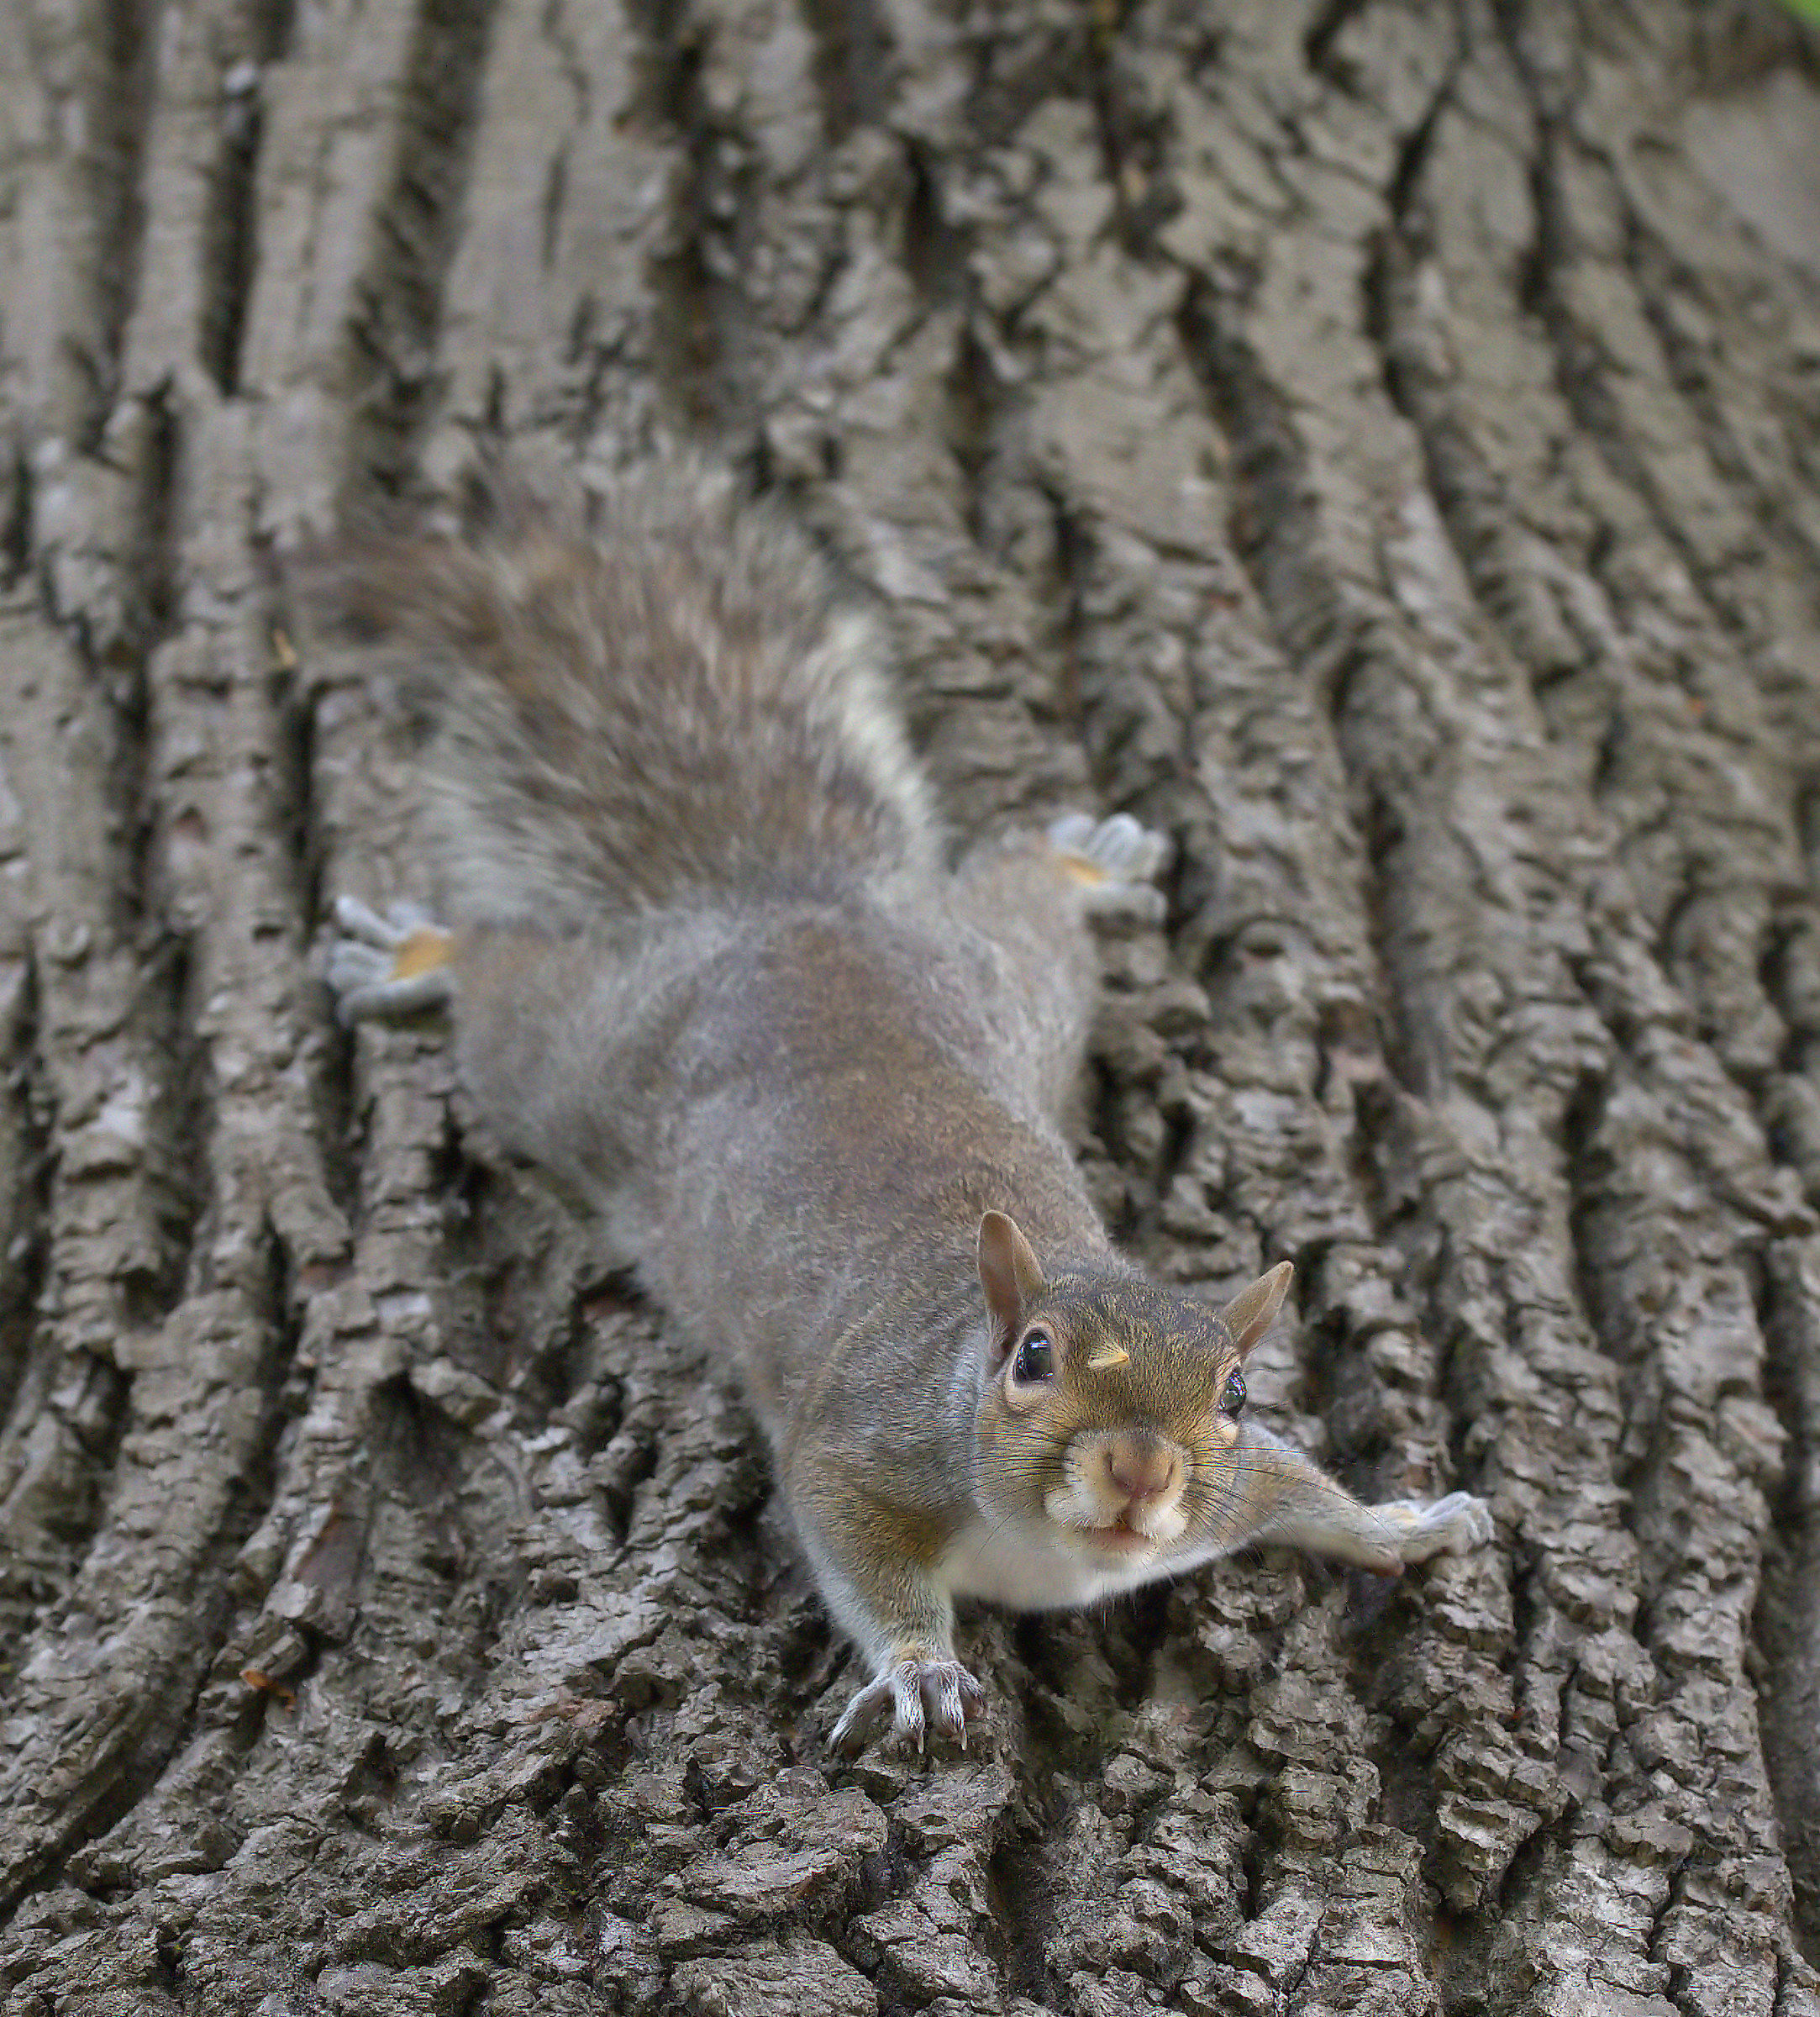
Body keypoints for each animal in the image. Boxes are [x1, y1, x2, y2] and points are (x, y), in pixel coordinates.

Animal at [315, 462, 1494, 1755]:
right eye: (1033, 1357)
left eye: (1236, 1392)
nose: (1142, 1472)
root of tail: (792, 910)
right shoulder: (860, 1451)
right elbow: (863, 1559)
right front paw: (923, 1669)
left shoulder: (1242, 1486)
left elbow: (1303, 1488)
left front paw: (1405, 1524)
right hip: (581, 1064)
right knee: (508, 993)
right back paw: (423, 957)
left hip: (1014, 978)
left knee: (1031, 901)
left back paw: (1085, 864)